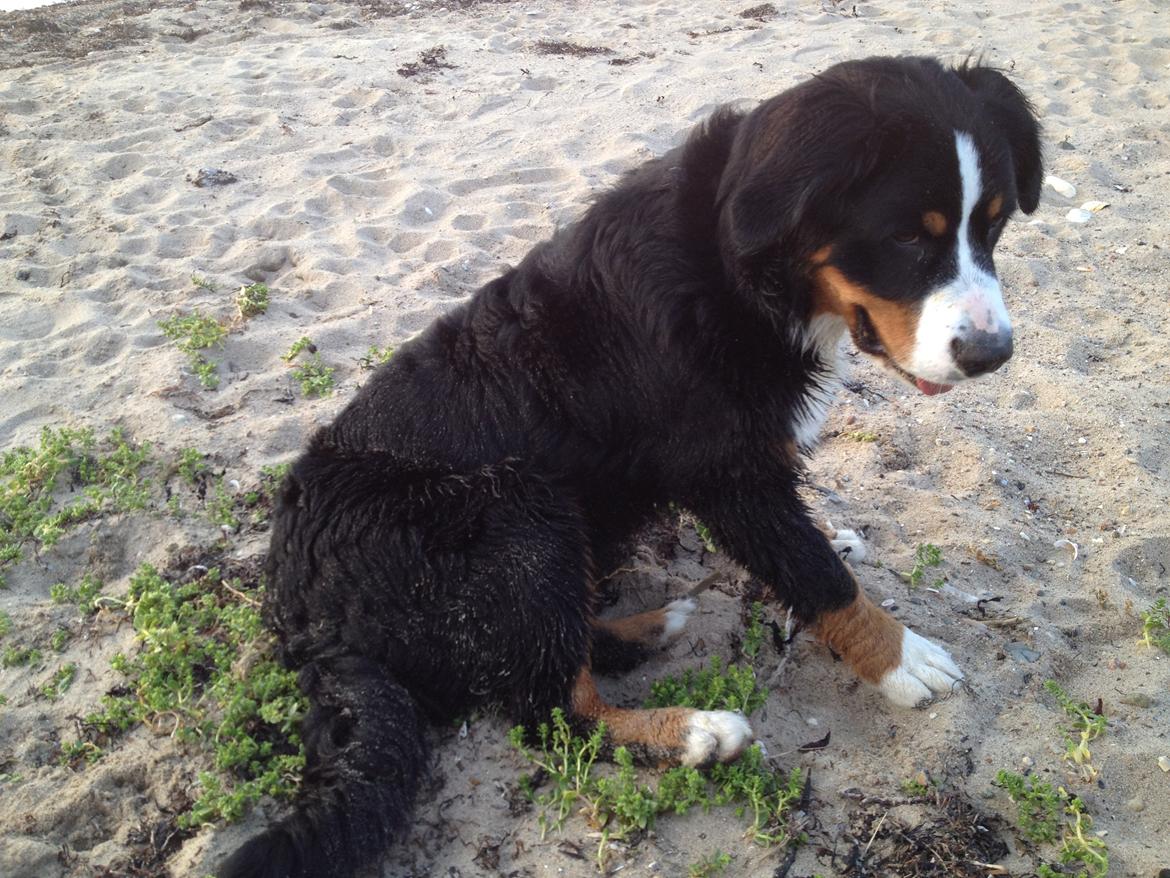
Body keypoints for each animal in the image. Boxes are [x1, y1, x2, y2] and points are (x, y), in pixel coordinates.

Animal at [217, 55, 1043, 878]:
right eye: (906, 236)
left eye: (994, 225)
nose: (992, 353)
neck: (737, 272)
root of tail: (303, 616)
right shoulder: (728, 476)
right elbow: (818, 576)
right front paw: (903, 657)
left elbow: (805, 542)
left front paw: (835, 539)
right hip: (518, 512)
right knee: (553, 713)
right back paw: (693, 732)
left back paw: (652, 626)